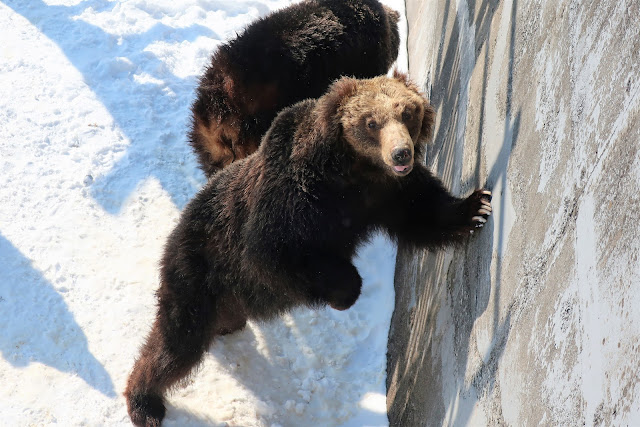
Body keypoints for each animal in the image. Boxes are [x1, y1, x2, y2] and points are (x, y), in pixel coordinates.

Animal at [127, 72, 492, 426]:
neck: (352, 172)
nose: (401, 153)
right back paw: (144, 403)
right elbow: (274, 253)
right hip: (198, 269)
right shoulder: (293, 202)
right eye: (371, 122)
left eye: (407, 112)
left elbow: (425, 210)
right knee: (177, 342)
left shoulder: (389, 192)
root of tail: (179, 225)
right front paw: (344, 294)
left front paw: (477, 206)